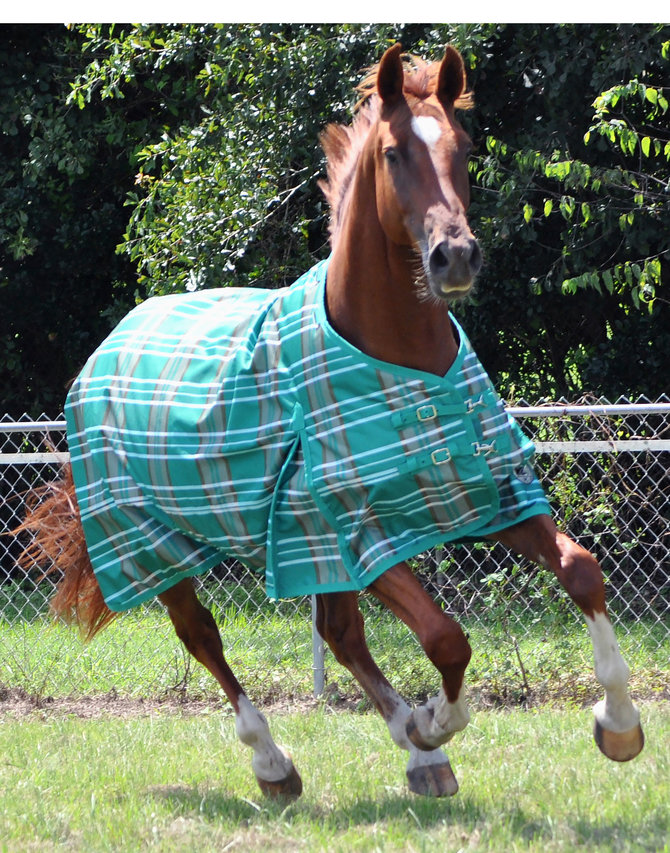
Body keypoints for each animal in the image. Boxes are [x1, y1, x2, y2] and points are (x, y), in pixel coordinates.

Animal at [17, 44, 644, 799]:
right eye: (395, 153)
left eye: (464, 147)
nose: (456, 256)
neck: (402, 364)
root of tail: (110, 344)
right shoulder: (361, 531)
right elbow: (447, 639)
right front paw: (435, 721)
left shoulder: (493, 494)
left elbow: (582, 571)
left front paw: (618, 724)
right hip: (154, 544)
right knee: (204, 638)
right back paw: (275, 761)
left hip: (303, 547)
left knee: (342, 634)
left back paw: (418, 757)